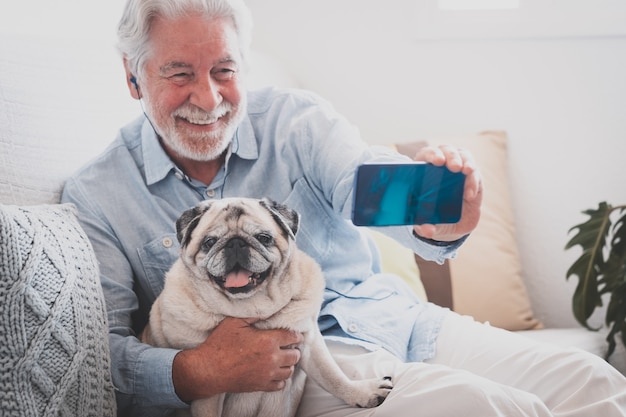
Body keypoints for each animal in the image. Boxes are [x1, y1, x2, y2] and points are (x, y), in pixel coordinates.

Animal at [144, 196, 392, 416]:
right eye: (209, 242)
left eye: (263, 238)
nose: (236, 242)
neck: (251, 307)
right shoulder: (209, 391)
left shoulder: (309, 343)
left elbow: (333, 376)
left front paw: (361, 392)